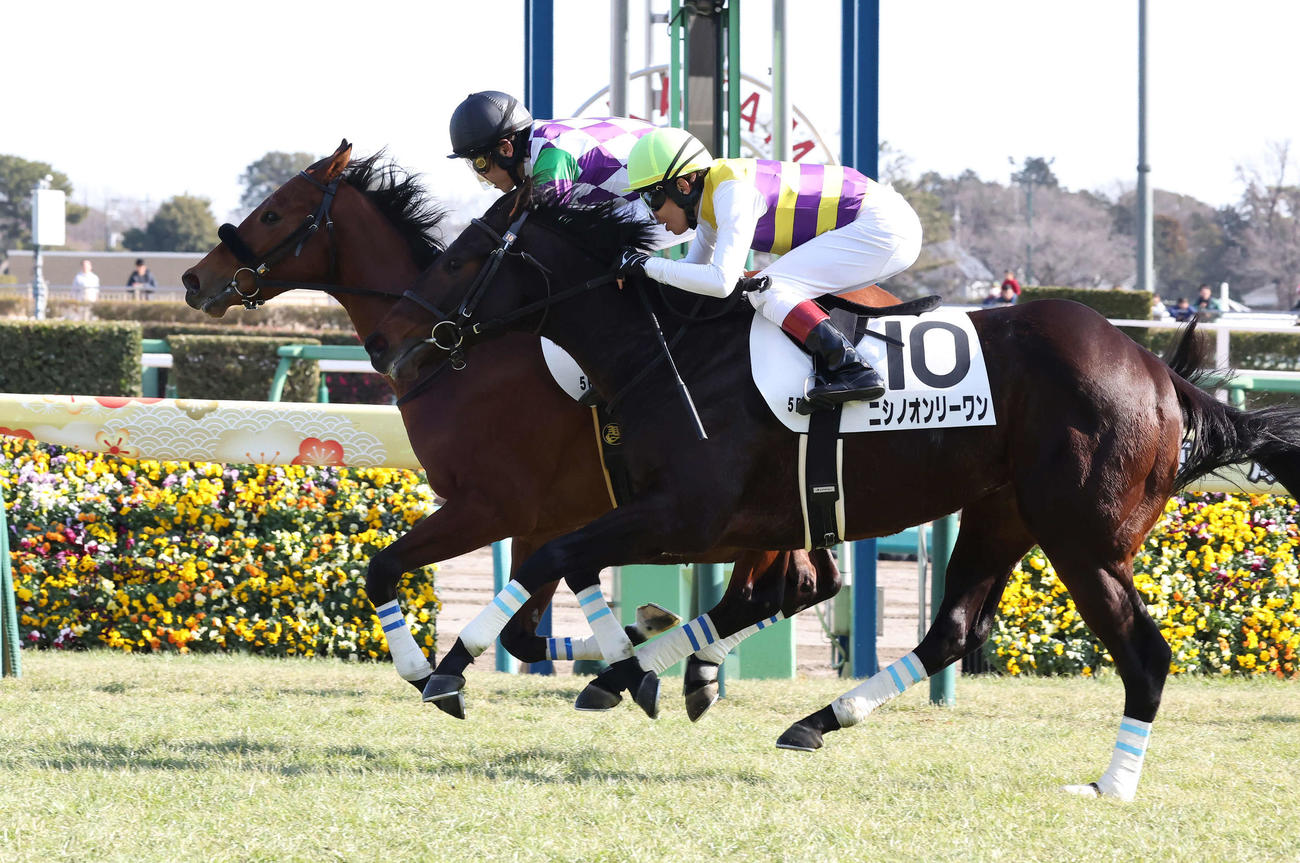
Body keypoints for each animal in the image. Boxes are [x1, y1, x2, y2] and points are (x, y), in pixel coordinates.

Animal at [181, 140, 889, 720]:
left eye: (273, 214)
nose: (194, 279)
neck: (464, 350)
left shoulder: (495, 506)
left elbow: (386, 571)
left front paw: (428, 673)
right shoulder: (546, 518)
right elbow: (525, 627)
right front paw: (630, 648)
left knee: (788, 587)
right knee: (799, 586)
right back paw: (694, 669)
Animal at [362, 187, 1300, 800]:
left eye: (466, 255)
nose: (399, 344)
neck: (668, 349)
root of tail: (1163, 377)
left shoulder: (688, 515)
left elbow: (556, 558)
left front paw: (450, 669)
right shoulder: (680, 516)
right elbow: (588, 569)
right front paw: (630, 668)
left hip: (1085, 538)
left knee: (1145, 654)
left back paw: (1111, 784)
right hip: (1003, 514)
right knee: (954, 629)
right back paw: (817, 717)